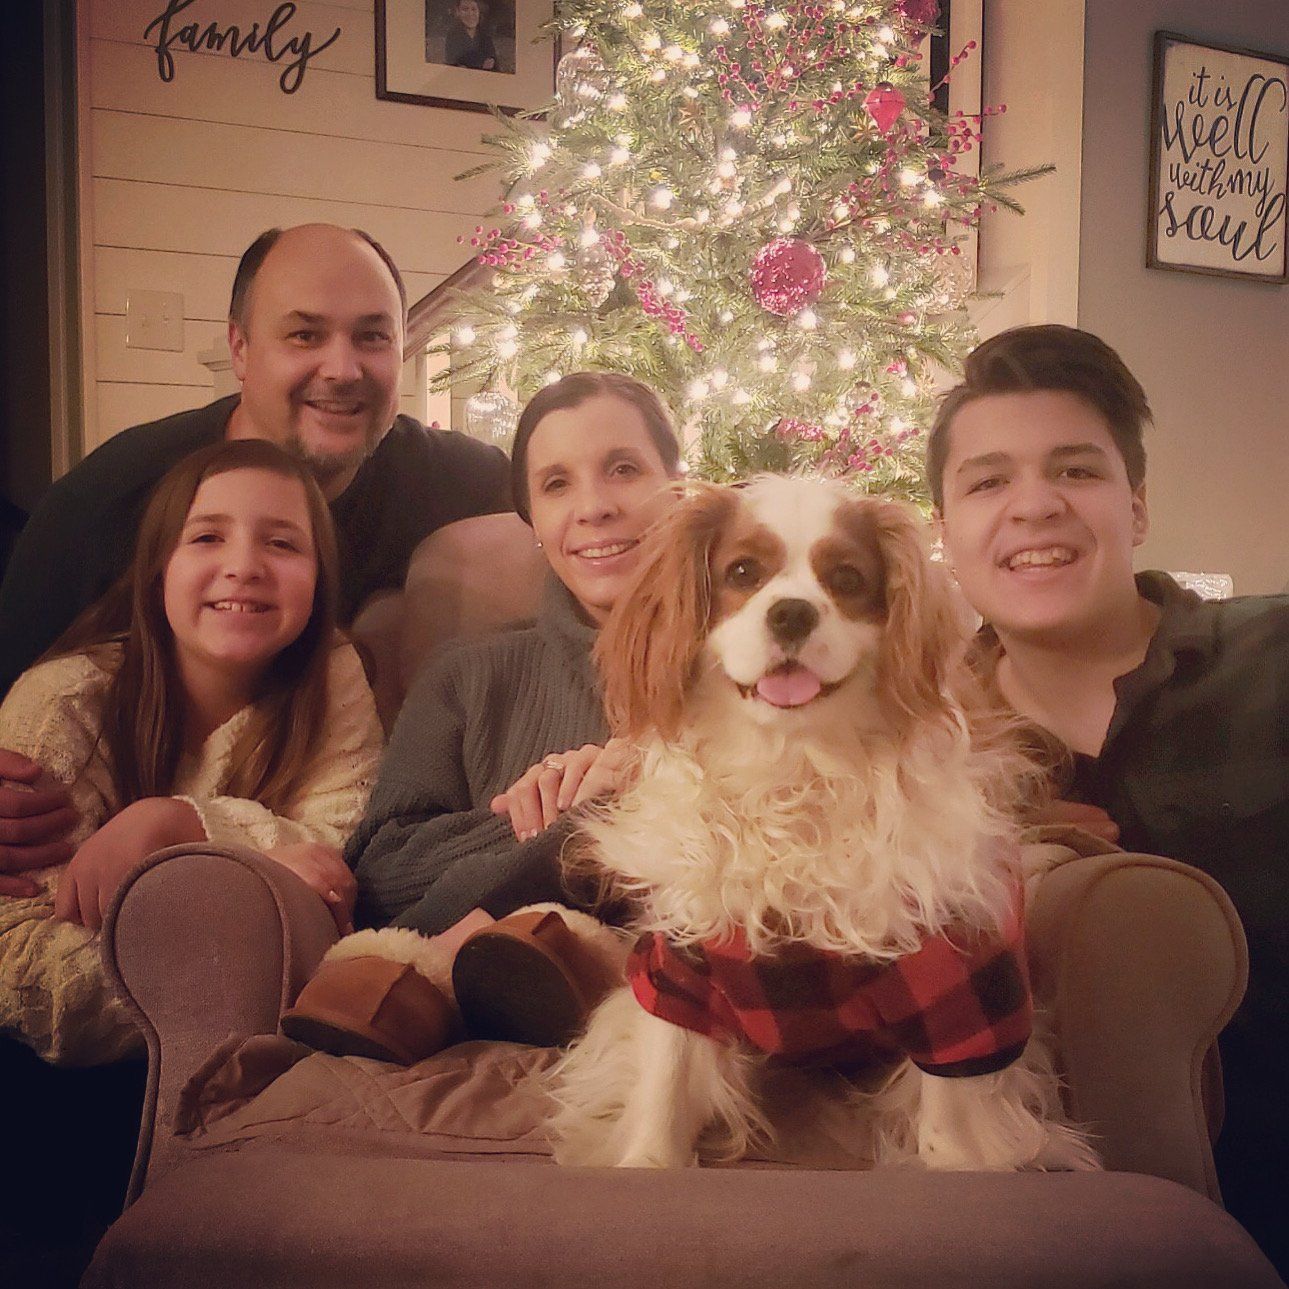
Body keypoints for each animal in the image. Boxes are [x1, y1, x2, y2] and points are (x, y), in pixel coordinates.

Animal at [549, 479, 1103, 1175]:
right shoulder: (680, 974)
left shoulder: (962, 1000)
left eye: (847, 579)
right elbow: (664, 1092)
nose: (791, 613)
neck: (796, 772)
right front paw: (647, 1162)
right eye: (741, 573)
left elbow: (950, 1131)